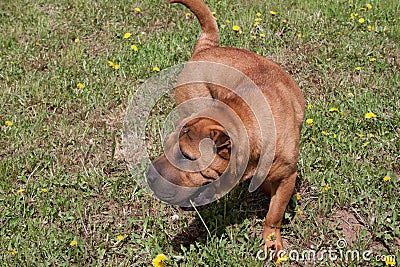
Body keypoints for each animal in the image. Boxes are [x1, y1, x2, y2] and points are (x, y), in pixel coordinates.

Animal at [145, 0, 304, 253]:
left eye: (186, 156)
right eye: (166, 145)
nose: (148, 175)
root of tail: (205, 49)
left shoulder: (288, 175)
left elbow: (274, 213)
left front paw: (271, 238)